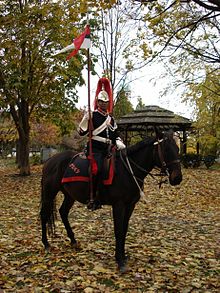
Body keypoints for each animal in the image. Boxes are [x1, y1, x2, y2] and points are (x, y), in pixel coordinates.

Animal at [40, 129, 182, 272]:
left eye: (177, 149)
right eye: (166, 150)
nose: (177, 178)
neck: (128, 170)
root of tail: (50, 159)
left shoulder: (130, 205)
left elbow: (124, 230)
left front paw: (122, 256)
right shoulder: (118, 205)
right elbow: (118, 230)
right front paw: (120, 261)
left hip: (70, 195)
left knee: (63, 212)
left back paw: (73, 240)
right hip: (49, 193)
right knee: (44, 215)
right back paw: (46, 244)